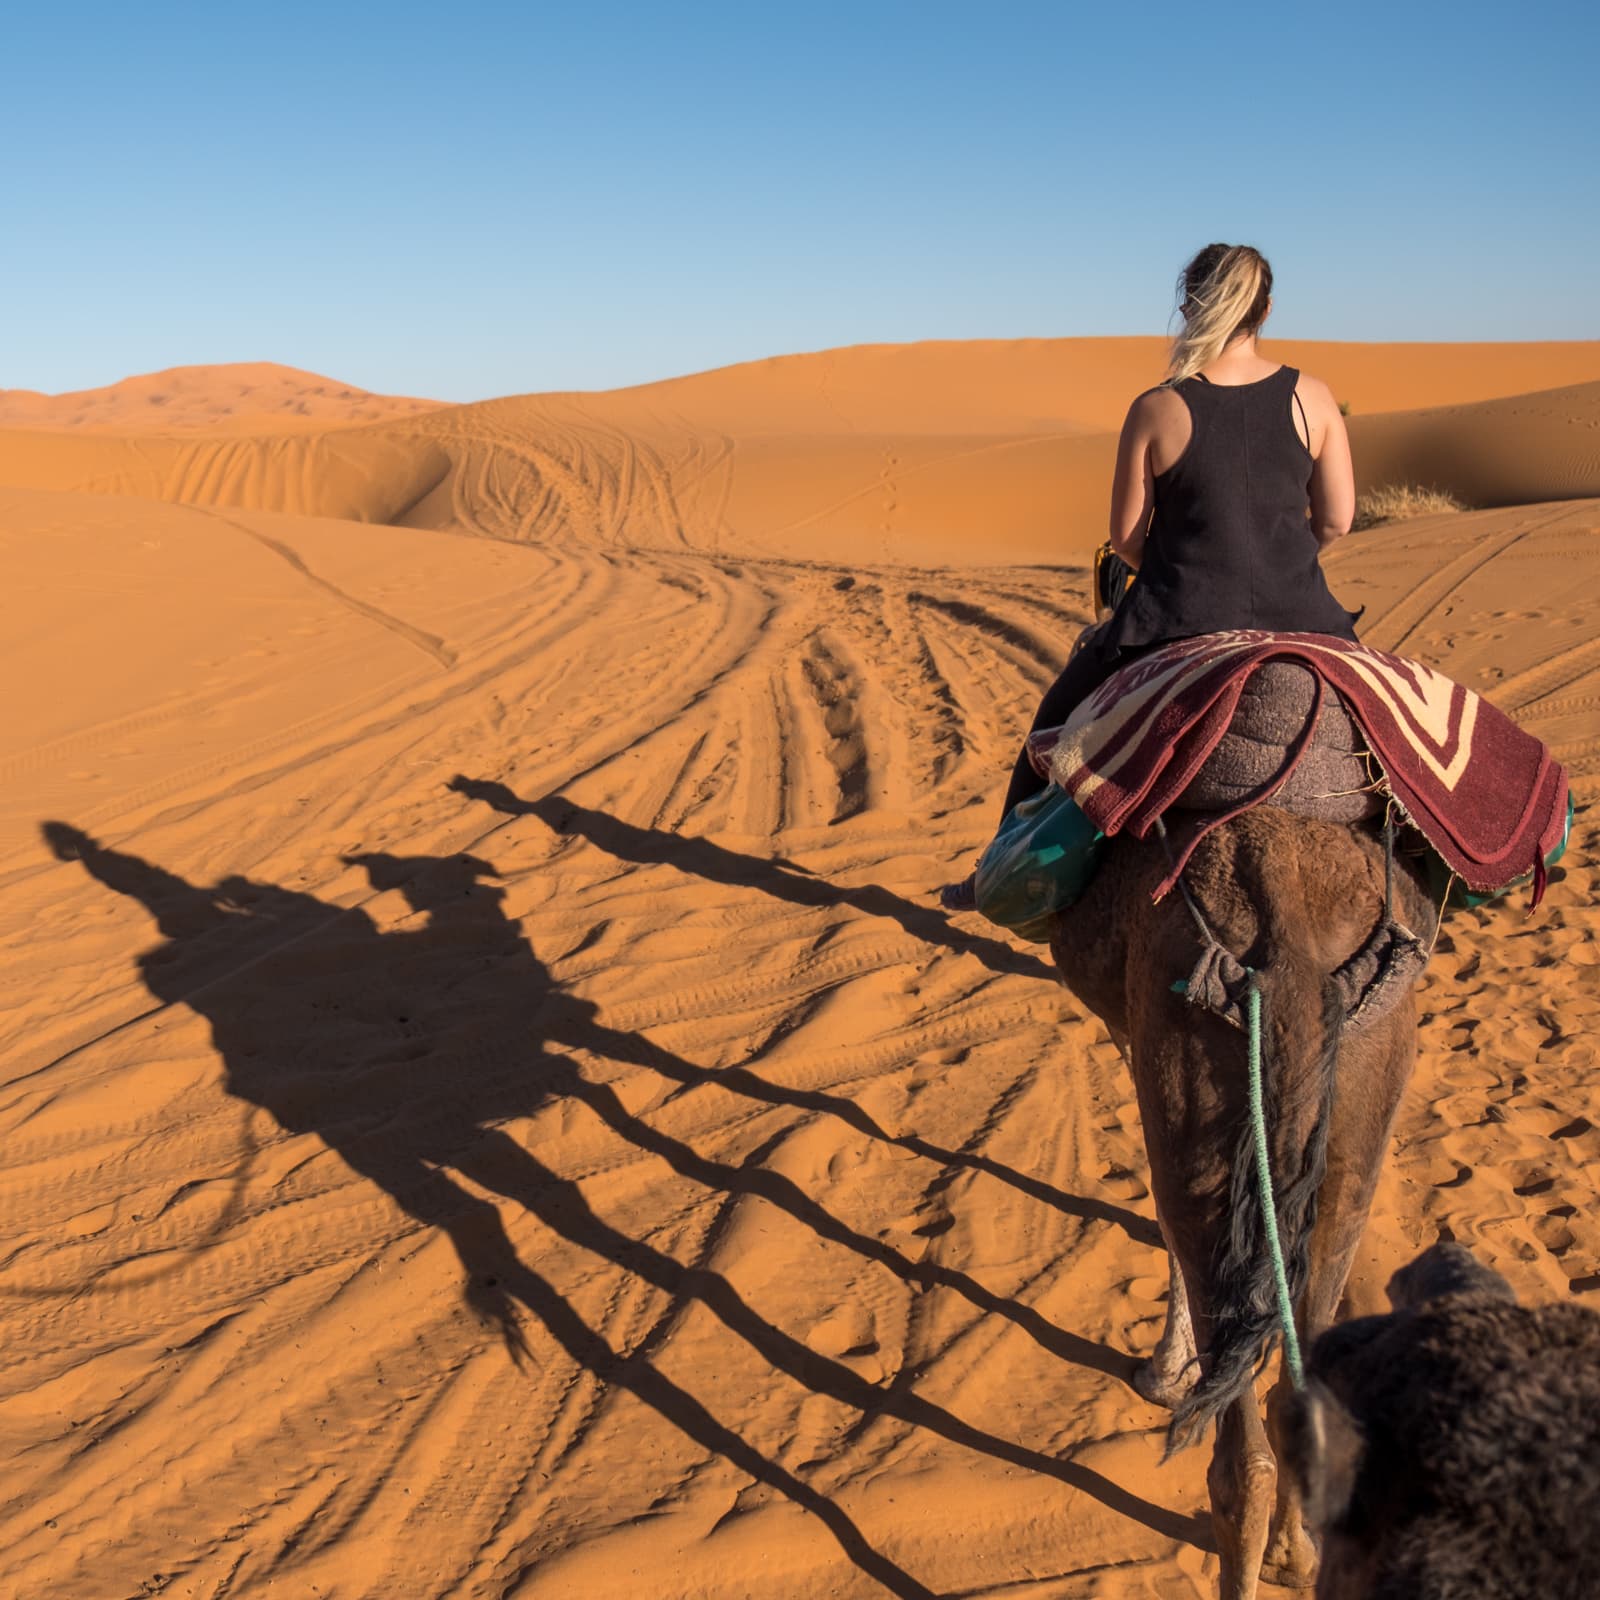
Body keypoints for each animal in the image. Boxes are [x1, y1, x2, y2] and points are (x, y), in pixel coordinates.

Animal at [1049, 790, 1440, 1600]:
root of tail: (1287, 942)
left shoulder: (1132, 1030)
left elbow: (1163, 1221)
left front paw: (1164, 1372)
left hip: (1194, 1060)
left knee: (1238, 1465)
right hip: (1367, 1077)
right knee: (1303, 1396)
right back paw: (1298, 1556)